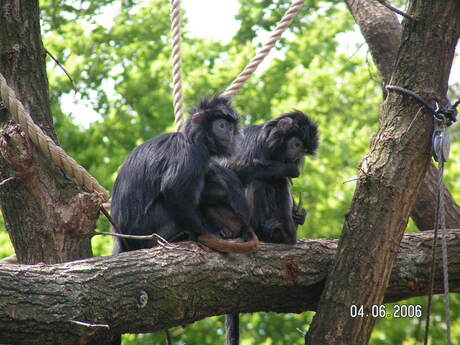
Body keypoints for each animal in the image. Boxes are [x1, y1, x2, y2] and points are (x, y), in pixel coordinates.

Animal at [111, 97, 258, 253]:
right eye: (221, 126)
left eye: (230, 129)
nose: (229, 135)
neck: (193, 137)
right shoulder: (192, 150)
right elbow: (175, 191)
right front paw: (207, 233)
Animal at [225, 110, 318, 344]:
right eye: (296, 144)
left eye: (303, 151)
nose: (296, 158)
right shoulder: (254, 144)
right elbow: (232, 170)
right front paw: (288, 168)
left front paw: (299, 215)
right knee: (262, 179)